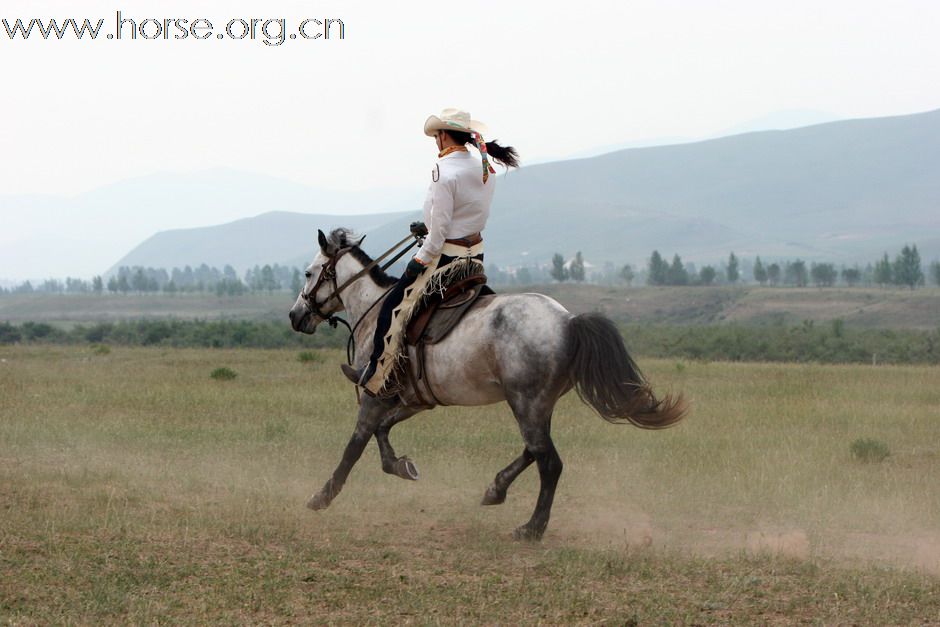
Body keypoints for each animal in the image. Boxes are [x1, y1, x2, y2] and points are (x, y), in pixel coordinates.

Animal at [286, 228, 684, 544]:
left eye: (308, 272)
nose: (295, 315)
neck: (376, 310)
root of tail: (569, 322)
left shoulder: (375, 395)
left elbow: (355, 445)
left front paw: (322, 497)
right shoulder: (413, 399)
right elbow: (383, 432)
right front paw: (401, 466)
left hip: (525, 402)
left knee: (549, 462)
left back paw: (531, 528)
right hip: (536, 404)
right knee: (534, 449)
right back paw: (497, 489)